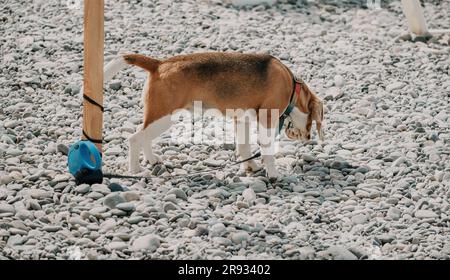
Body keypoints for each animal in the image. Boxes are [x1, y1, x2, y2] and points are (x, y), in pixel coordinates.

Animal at [102, 52, 324, 179]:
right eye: (312, 121)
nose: (308, 138)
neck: (292, 85)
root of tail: (159, 64)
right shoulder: (266, 121)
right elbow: (267, 151)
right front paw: (273, 174)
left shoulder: (241, 119)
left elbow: (244, 147)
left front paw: (251, 167)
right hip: (163, 117)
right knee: (135, 138)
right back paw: (135, 170)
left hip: (159, 117)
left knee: (144, 137)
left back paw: (152, 160)